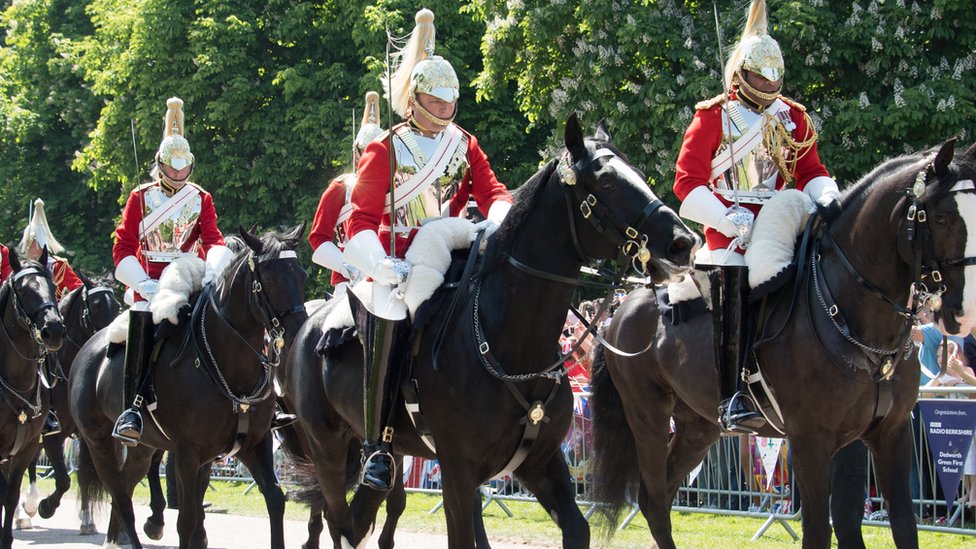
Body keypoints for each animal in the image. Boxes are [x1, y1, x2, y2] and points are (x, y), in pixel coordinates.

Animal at [16, 270, 119, 532]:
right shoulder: (54, 435)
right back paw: (24, 511)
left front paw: (87, 520)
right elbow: (63, 479)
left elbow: (82, 475)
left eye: (116, 305)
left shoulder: (87, 435)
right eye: (95, 305)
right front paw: (45, 506)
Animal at [70, 227, 306, 548]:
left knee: (127, 486)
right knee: (120, 497)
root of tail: (87, 349)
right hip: (99, 443)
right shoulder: (187, 453)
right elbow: (187, 519)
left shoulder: (254, 444)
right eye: (269, 280)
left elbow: (275, 500)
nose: (298, 331)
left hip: (144, 448)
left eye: (302, 274)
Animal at [286, 113, 696, 544]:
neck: (509, 341)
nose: (683, 244)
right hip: (327, 448)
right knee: (339, 520)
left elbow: (577, 527)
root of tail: (307, 327)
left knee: (358, 520)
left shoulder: (540, 463)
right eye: (606, 182)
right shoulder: (457, 472)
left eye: (639, 175)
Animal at [588, 139, 976, 544]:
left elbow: (892, 522)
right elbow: (820, 528)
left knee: (659, 496)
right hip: (647, 416)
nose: (964, 312)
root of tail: (622, 307)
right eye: (942, 218)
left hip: (698, 424)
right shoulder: (810, 440)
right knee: (653, 496)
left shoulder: (888, 434)